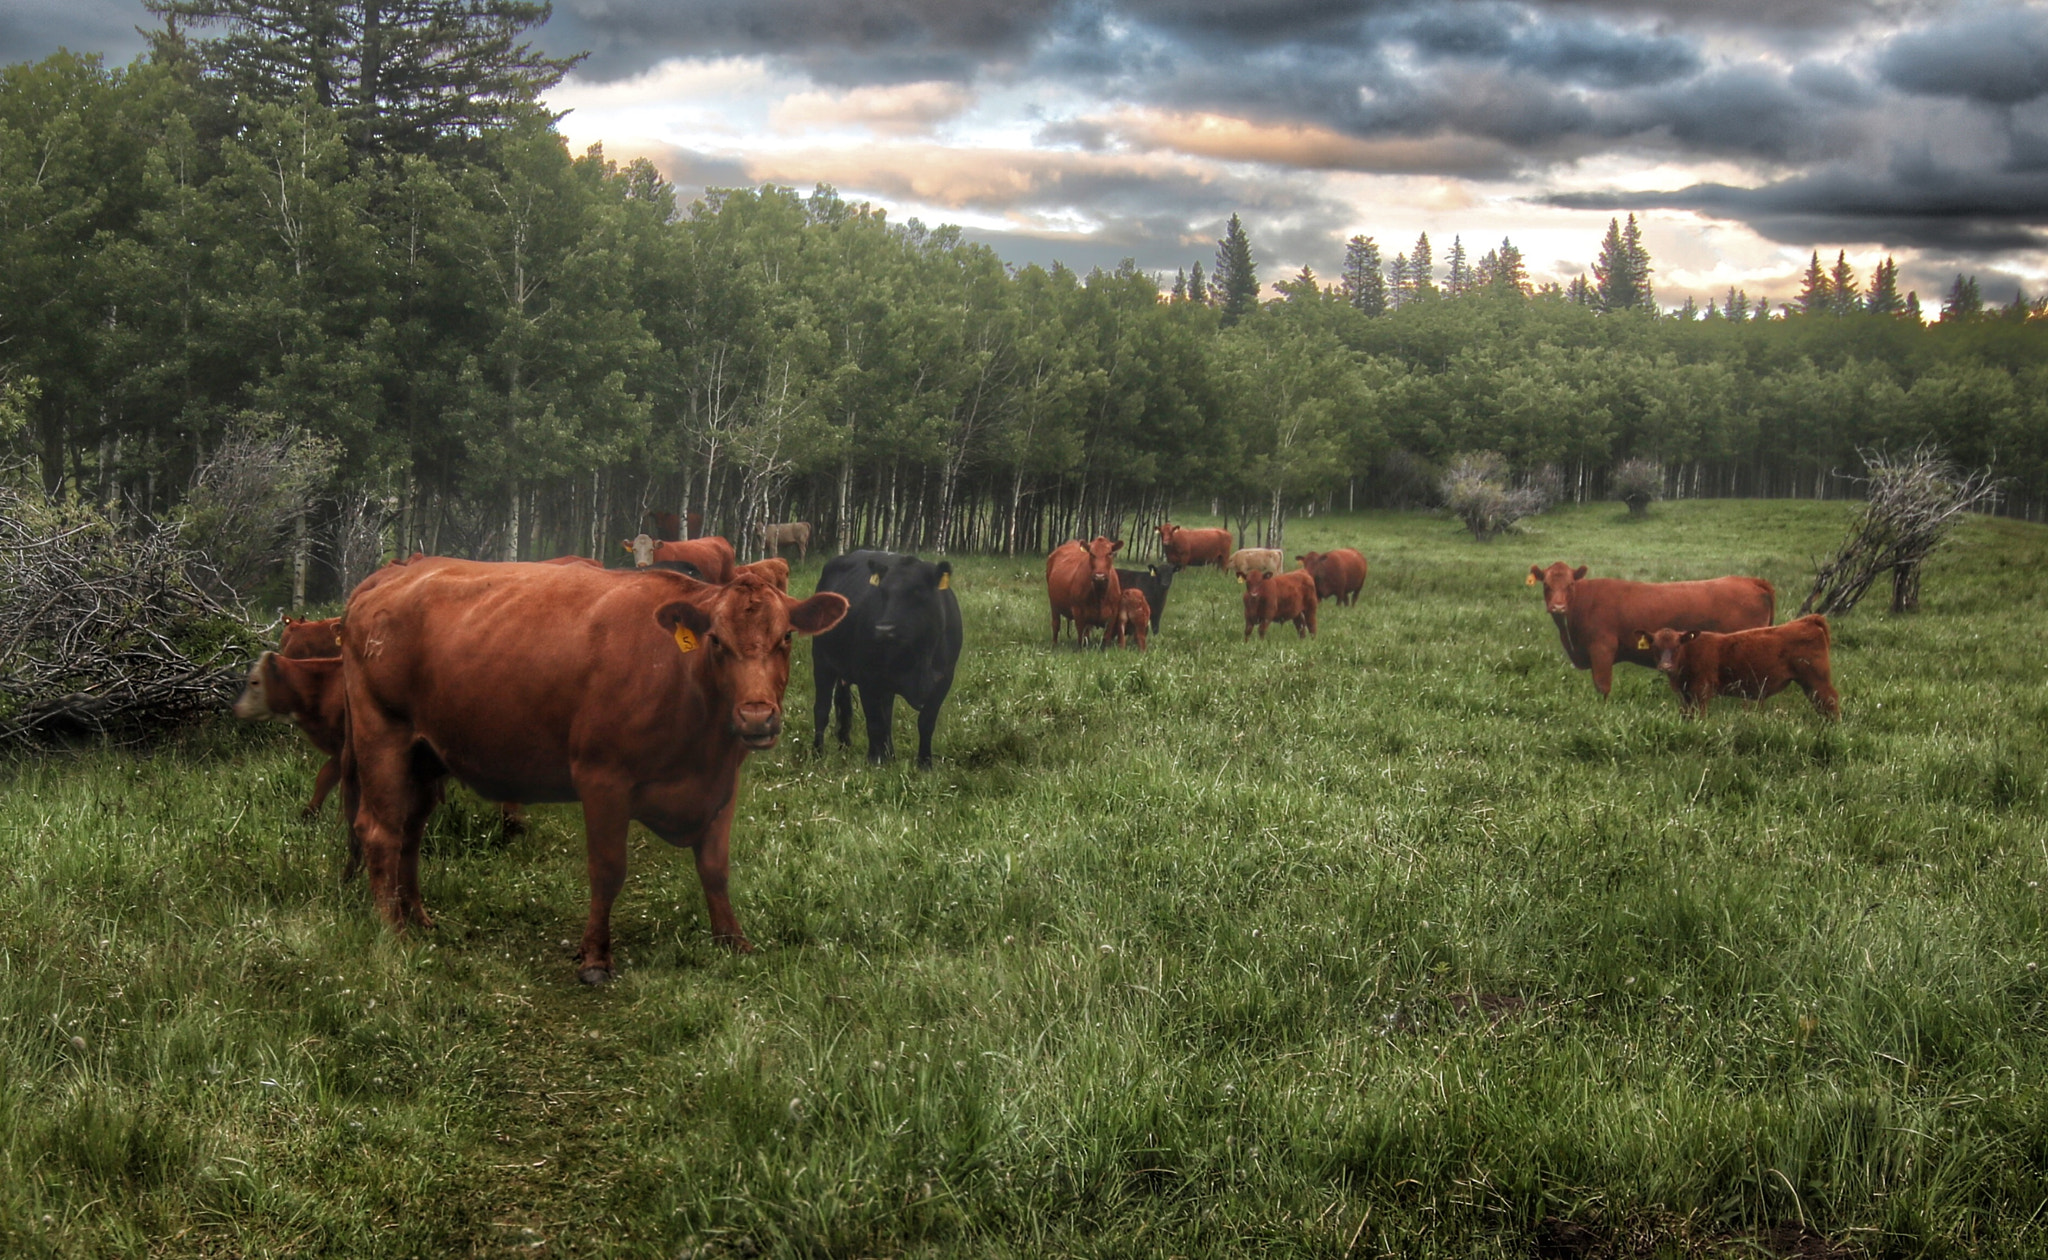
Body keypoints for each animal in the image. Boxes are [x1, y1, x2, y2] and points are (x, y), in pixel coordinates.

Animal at [342, 561, 847, 987]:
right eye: (716, 640)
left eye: (786, 637)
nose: (757, 717)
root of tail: (392, 574)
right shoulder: (603, 779)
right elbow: (608, 870)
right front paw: (595, 958)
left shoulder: (722, 784)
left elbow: (715, 867)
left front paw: (732, 940)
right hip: (382, 735)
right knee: (381, 832)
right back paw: (394, 932)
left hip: (426, 755)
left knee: (410, 831)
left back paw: (418, 918)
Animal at [806, 549, 958, 770]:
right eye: (883, 593)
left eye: (917, 592)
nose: (884, 629)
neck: (921, 656)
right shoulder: (868, 677)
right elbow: (875, 722)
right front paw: (875, 762)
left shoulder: (944, 679)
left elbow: (925, 722)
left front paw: (924, 763)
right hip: (821, 661)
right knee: (822, 709)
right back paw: (818, 753)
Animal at [1540, 565, 1777, 700]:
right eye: (1546, 585)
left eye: (1570, 584)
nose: (1558, 607)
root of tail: (1750, 581)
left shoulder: (1601, 649)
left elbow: (1602, 686)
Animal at [1630, 618, 1843, 721]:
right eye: (1655, 647)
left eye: (1677, 646)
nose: (1665, 666)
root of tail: (1807, 621)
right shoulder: (1686, 694)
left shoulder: (1701, 691)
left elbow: (1699, 715)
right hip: (1809, 684)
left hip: (1818, 680)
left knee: (1830, 701)